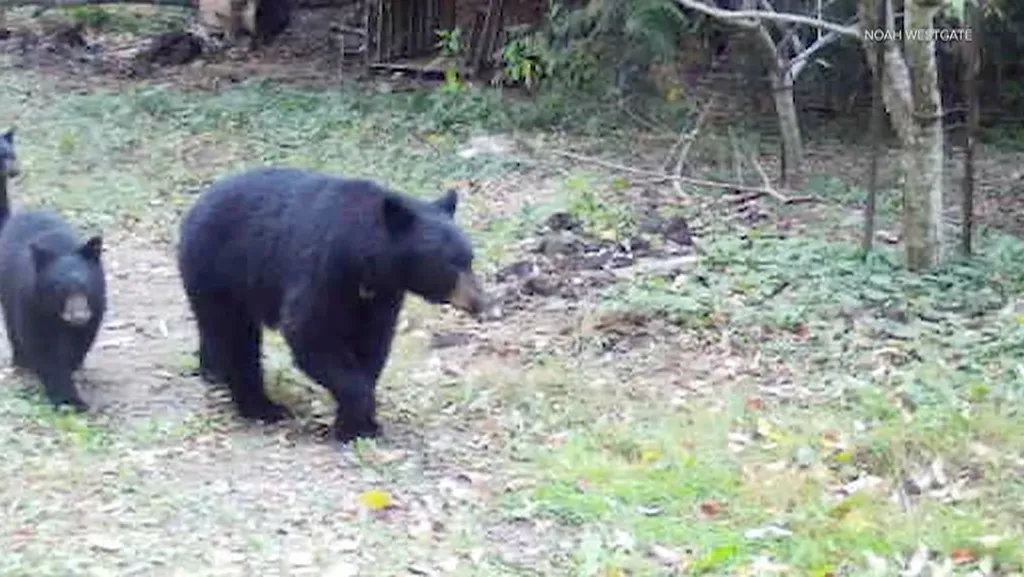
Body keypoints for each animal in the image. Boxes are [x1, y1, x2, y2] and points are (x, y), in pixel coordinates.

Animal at [0, 209, 107, 412]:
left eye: (85, 286)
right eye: (60, 288)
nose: (79, 315)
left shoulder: (95, 306)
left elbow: (80, 343)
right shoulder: (31, 304)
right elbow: (44, 351)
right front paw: (69, 400)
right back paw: (22, 363)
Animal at [176, 167, 490, 442]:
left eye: (469, 259)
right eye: (449, 264)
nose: (479, 302)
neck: (365, 261)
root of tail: (196, 205)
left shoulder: (382, 295)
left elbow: (372, 343)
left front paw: (361, 423)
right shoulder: (324, 270)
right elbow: (310, 333)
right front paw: (355, 423)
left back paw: (214, 373)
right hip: (219, 268)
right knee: (235, 337)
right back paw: (262, 407)